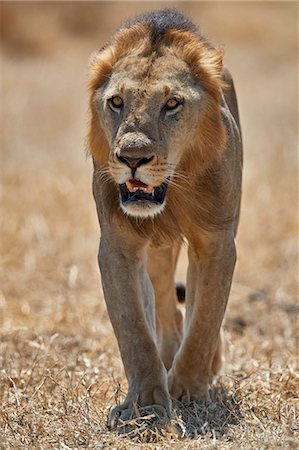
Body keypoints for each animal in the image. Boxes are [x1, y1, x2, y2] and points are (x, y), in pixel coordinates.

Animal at [87, 8, 244, 430]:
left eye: (172, 103)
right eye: (116, 101)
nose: (133, 158)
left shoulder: (216, 242)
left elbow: (205, 320)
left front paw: (188, 392)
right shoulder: (118, 245)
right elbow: (134, 329)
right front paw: (145, 405)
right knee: (161, 299)